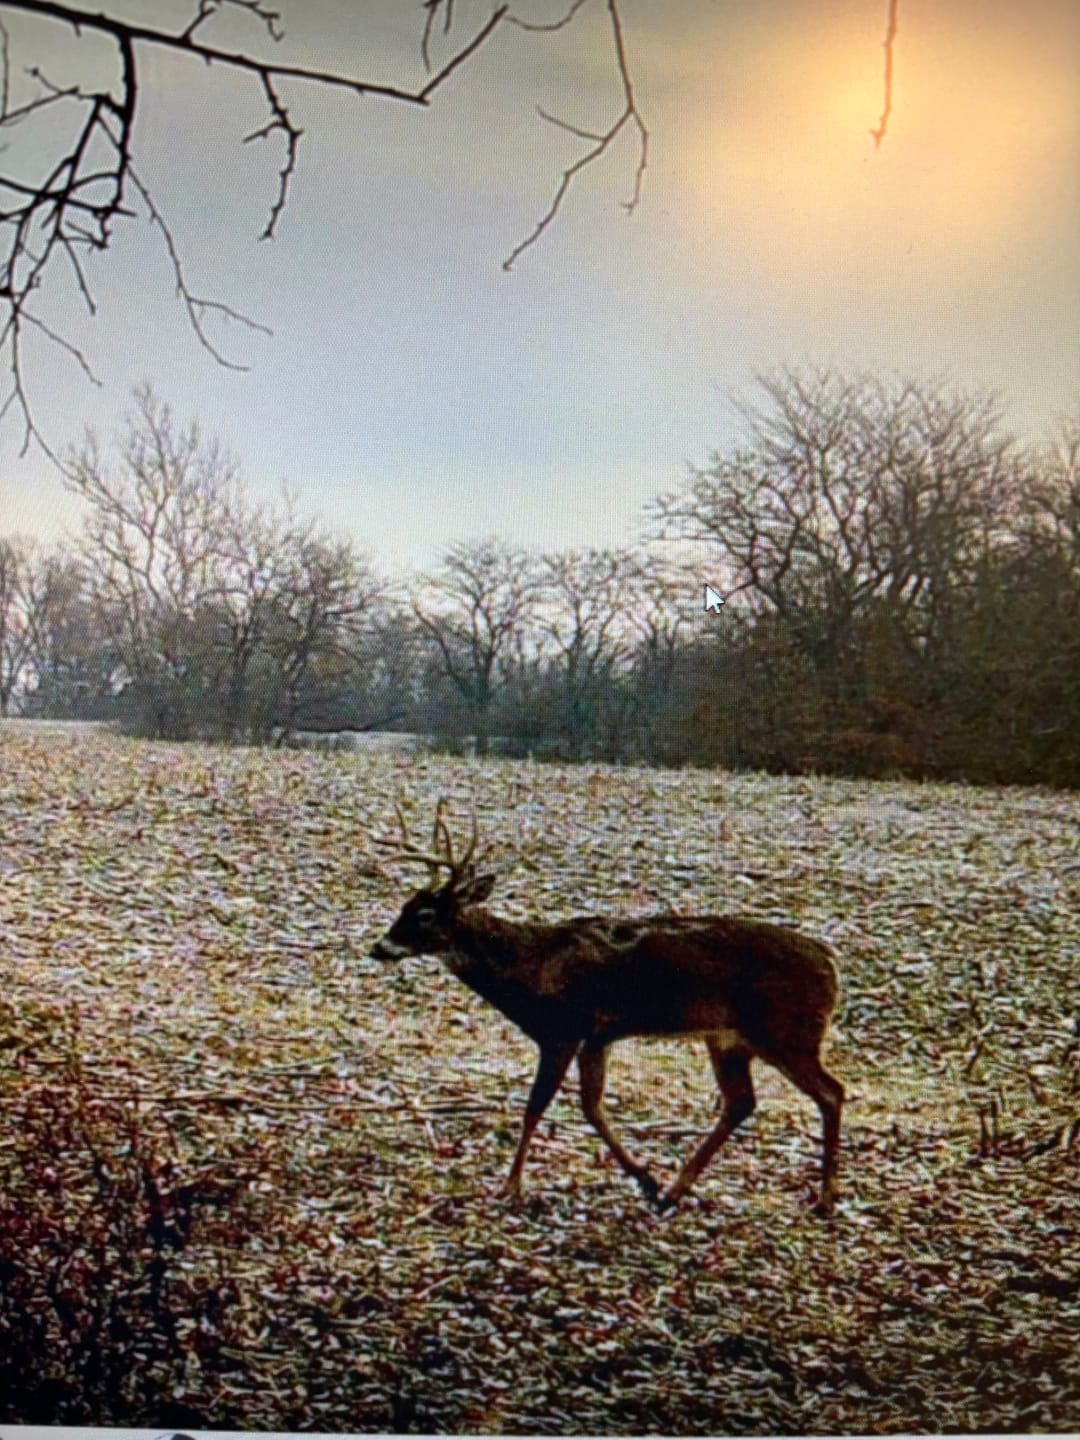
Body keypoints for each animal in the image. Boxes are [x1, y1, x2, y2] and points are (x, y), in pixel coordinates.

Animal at [369, 802, 844, 1215]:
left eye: (425, 914)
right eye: (404, 905)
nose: (378, 947)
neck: (531, 966)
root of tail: (829, 961)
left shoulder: (564, 1029)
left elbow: (536, 1106)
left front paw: (511, 1186)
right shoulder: (598, 1037)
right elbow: (591, 1107)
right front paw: (646, 1179)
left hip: (787, 1031)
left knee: (831, 1092)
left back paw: (824, 1199)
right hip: (730, 1038)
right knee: (741, 1101)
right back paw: (674, 1191)